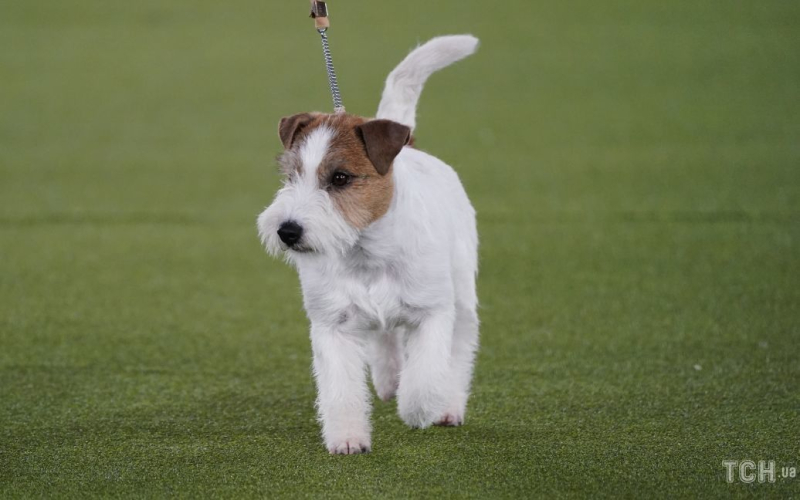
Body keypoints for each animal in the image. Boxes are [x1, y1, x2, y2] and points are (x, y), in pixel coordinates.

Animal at [260, 34, 478, 454]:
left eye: (341, 177)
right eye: (291, 175)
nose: (287, 231)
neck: (367, 253)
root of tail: (410, 145)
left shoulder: (432, 313)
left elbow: (425, 375)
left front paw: (418, 410)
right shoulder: (332, 326)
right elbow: (341, 390)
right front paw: (347, 438)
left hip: (461, 292)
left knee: (460, 346)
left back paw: (446, 406)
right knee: (385, 335)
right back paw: (389, 380)